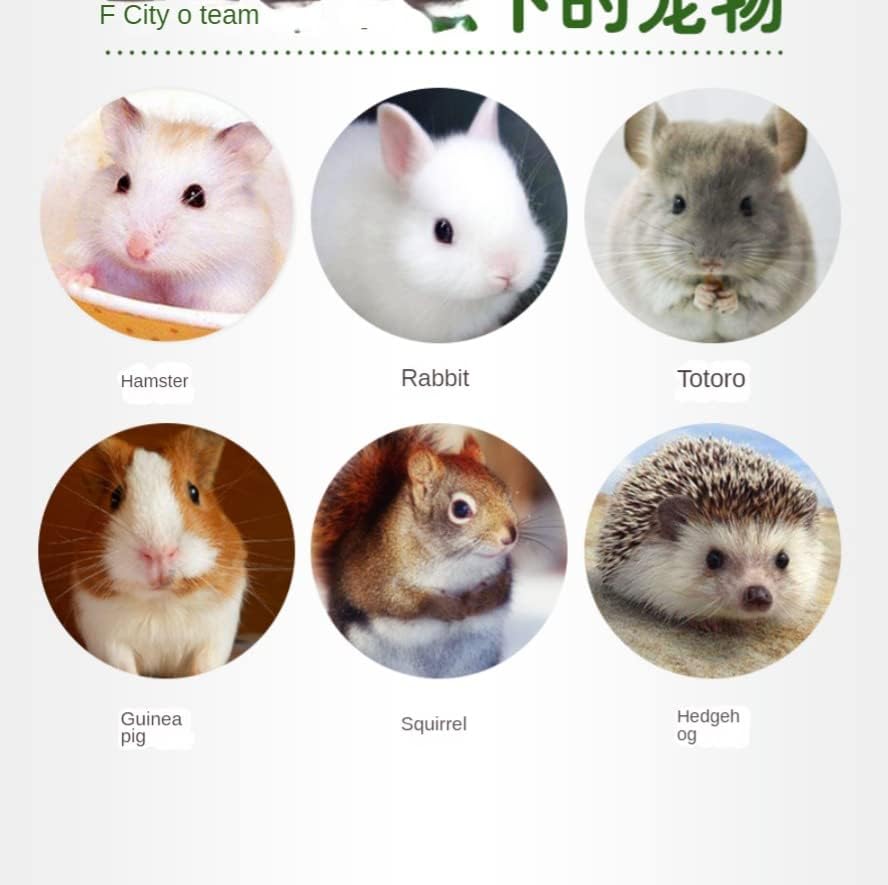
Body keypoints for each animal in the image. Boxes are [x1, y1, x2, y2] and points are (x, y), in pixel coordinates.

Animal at [56, 97, 282, 313]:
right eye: (122, 182)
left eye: (197, 196)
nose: (136, 251)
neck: (162, 274)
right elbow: (99, 273)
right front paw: (70, 277)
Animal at [70, 429, 247, 677]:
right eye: (115, 497)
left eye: (194, 492)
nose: (159, 554)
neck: (161, 601)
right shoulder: (111, 643)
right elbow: (125, 665)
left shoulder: (214, 640)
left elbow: (202, 666)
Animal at [604, 103, 815, 342]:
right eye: (678, 203)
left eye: (747, 205)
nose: (711, 263)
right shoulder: (650, 282)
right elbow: (679, 295)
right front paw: (703, 295)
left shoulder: (777, 286)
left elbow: (749, 299)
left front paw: (728, 298)